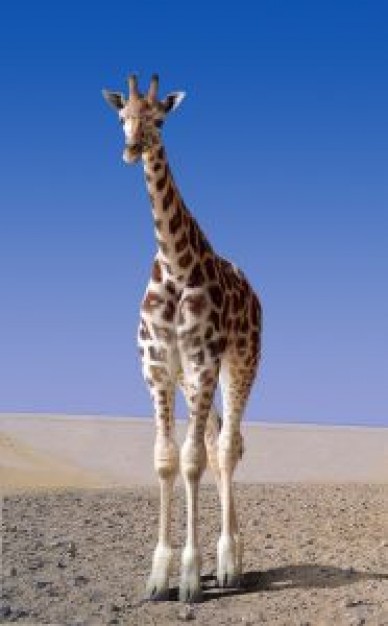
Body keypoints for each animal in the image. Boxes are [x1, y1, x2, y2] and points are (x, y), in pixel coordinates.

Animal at [102, 73, 260, 600]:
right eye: (123, 115)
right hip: (194, 381)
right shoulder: (157, 367)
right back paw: (233, 554)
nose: (132, 148)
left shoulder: (202, 360)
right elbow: (167, 460)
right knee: (219, 441)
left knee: (228, 446)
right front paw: (158, 577)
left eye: (160, 118)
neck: (174, 264)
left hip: (241, 362)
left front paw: (190, 576)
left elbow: (192, 460)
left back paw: (231, 562)